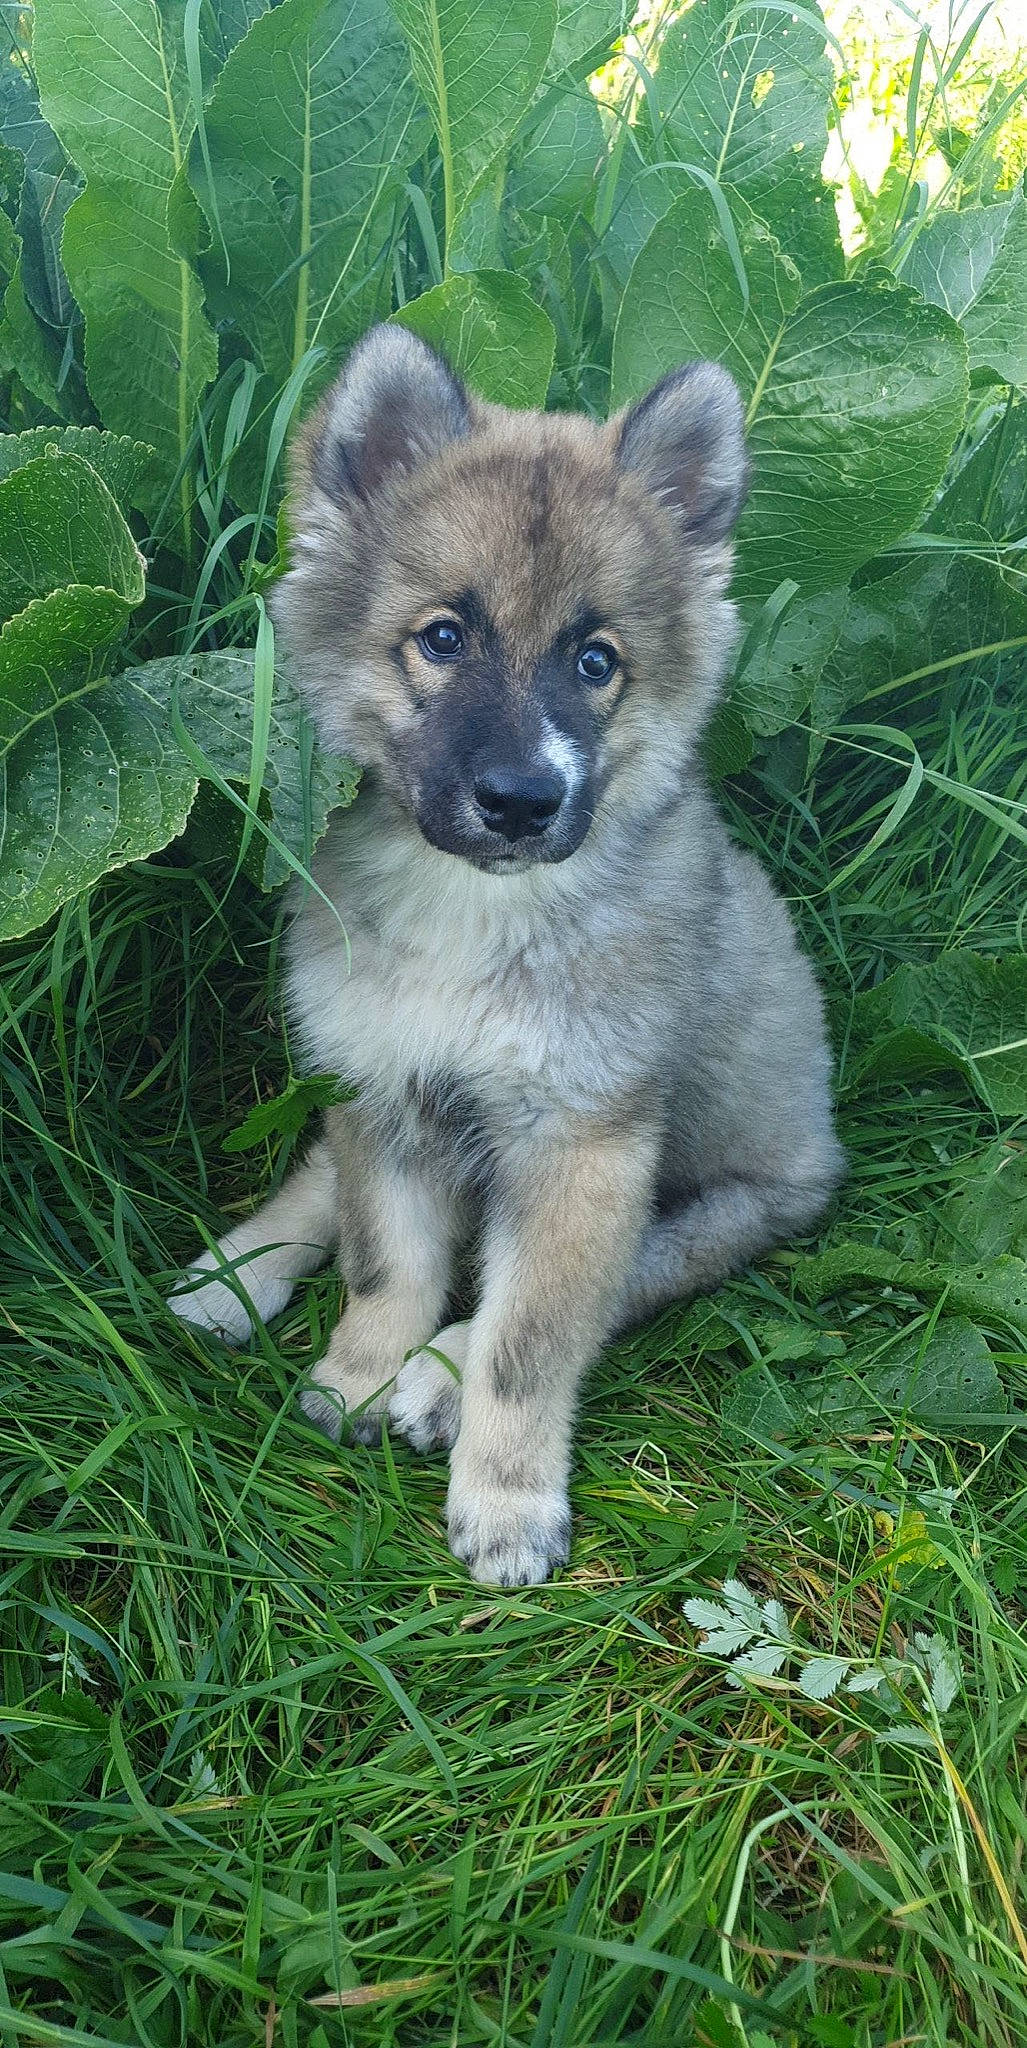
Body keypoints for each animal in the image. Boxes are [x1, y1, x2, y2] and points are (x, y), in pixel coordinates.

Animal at [171, 324, 844, 1586]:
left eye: (596, 661)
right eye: (442, 637)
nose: (524, 800)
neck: (474, 914)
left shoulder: (582, 1146)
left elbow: (527, 1340)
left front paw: (503, 1497)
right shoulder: (382, 1083)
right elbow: (383, 1259)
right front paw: (356, 1369)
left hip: (729, 1211)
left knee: (589, 1291)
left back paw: (437, 1386)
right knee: (323, 1177)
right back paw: (240, 1272)